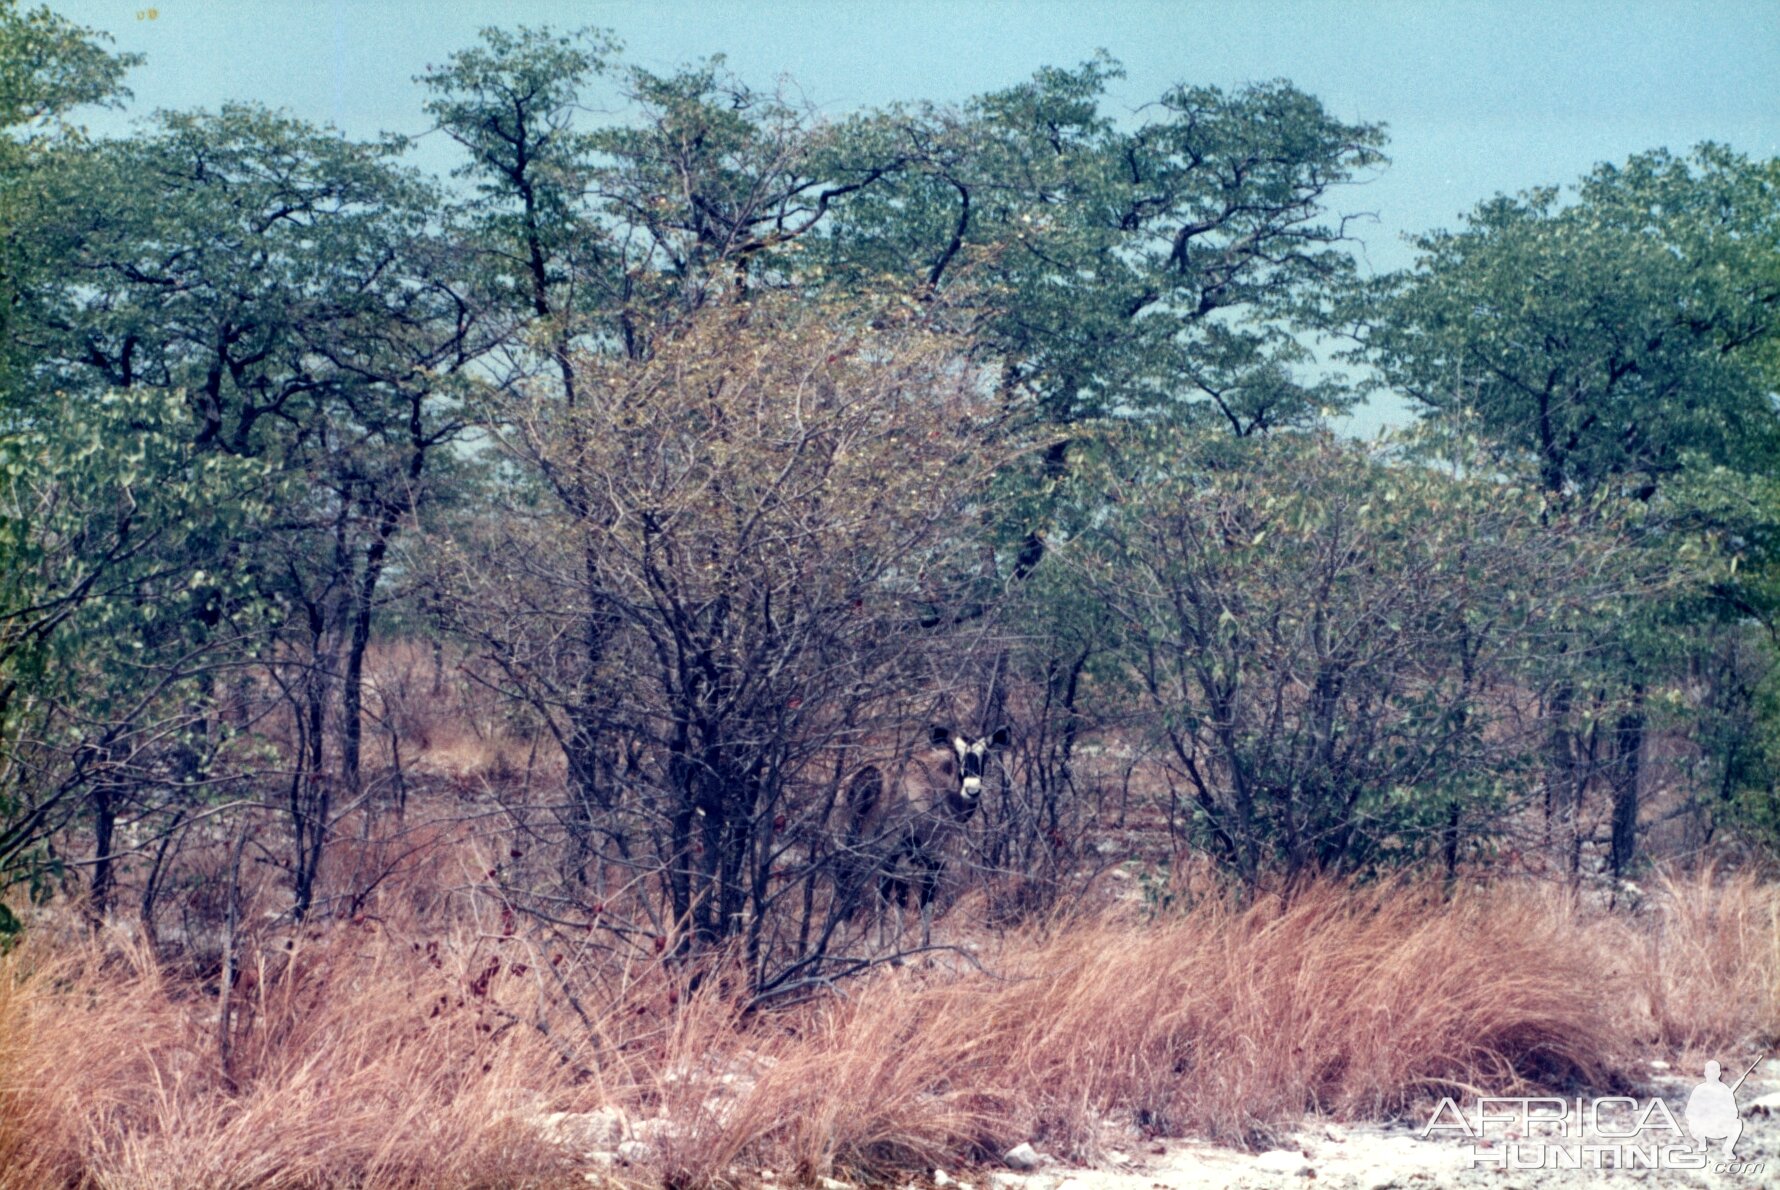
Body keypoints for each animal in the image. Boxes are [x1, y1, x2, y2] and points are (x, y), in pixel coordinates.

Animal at [843, 725, 1011, 946]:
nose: (972, 790)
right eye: (957, 754)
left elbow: (900, 905)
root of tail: (873, 778)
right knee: (880, 898)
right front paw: (923, 947)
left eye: (986, 755)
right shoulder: (935, 859)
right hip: (885, 856)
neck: (941, 777)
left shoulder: (906, 865)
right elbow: (925, 905)